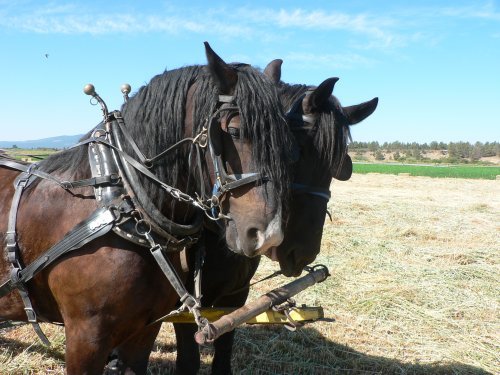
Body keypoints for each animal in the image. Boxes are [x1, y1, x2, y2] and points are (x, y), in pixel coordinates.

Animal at [0, 43, 294, 374]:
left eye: (286, 139)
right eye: (233, 131)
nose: (267, 234)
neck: (122, 205)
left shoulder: (144, 331)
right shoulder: (85, 339)